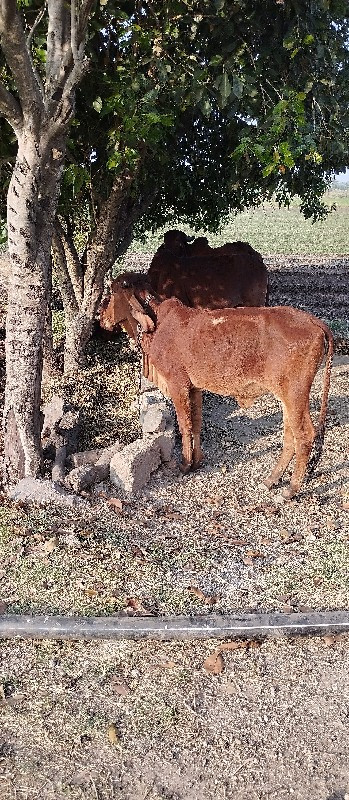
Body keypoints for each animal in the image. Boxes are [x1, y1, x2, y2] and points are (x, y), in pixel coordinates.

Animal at [125, 288, 332, 496]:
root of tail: (313, 321)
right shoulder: (194, 388)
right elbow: (196, 422)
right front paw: (196, 462)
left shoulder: (178, 385)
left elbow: (185, 425)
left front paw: (185, 464)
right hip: (288, 398)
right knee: (290, 435)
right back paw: (271, 480)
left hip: (295, 394)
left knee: (305, 435)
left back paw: (291, 489)